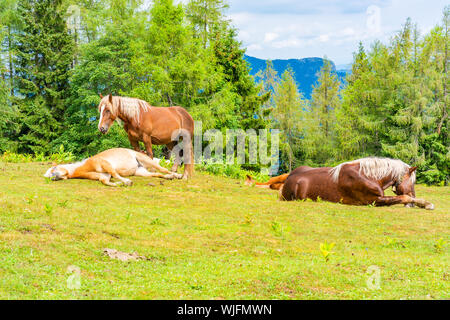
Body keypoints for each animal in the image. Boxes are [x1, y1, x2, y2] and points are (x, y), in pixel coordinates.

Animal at [43, 147, 181, 185]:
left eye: (53, 169)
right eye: (48, 176)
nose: (54, 178)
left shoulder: (106, 164)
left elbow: (115, 173)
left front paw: (126, 181)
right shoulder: (104, 175)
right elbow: (105, 181)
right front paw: (121, 183)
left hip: (146, 160)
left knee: (163, 169)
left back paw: (178, 175)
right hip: (140, 172)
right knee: (157, 174)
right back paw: (170, 177)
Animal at [246, 158, 436, 210]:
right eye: (412, 182)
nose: (413, 201)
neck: (368, 175)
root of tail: (290, 177)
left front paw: (423, 203)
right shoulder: (373, 201)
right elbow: (402, 197)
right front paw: (425, 203)